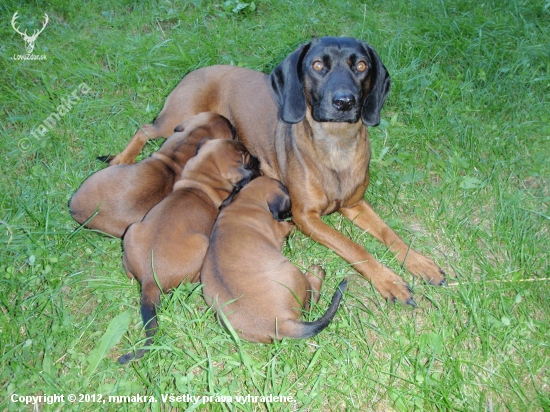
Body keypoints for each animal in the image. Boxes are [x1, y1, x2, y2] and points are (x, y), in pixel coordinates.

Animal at [111, 36, 444, 302]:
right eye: (318, 66)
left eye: (361, 65)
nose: (344, 102)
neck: (336, 147)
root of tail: (199, 69)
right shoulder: (306, 217)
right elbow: (354, 248)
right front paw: (388, 280)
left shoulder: (355, 204)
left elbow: (390, 234)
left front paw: (418, 261)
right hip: (174, 120)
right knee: (143, 130)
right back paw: (120, 159)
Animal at [119, 139, 260, 364]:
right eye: (245, 156)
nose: (258, 159)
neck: (198, 182)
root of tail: (150, 279)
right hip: (203, 243)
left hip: (132, 229)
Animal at [203, 175, 350, 342]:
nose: (291, 213)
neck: (246, 202)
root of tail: (282, 324)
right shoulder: (281, 228)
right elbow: (290, 226)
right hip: (295, 274)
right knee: (310, 303)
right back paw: (316, 273)